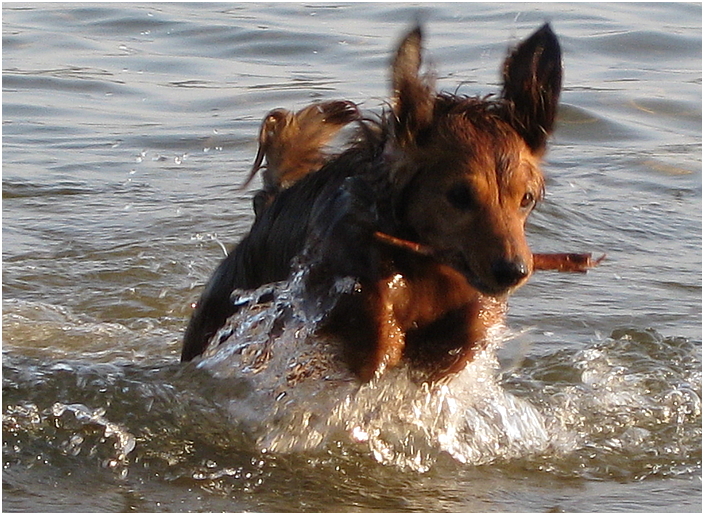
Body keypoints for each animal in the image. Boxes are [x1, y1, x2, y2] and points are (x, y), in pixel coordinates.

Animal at [182, 25, 592, 382]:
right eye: (459, 194)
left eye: (526, 198)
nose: (513, 271)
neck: (424, 266)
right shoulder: (327, 278)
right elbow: (369, 309)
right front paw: (383, 346)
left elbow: (472, 324)